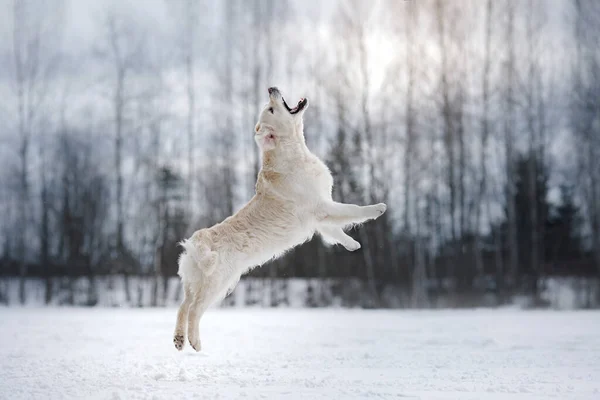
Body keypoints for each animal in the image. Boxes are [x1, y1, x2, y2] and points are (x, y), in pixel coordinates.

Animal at [172, 86, 390, 350]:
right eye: (271, 109)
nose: (271, 88)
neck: (294, 152)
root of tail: (195, 242)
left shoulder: (319, 215)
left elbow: (335, 231)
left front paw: (353, 244)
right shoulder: (320, 206)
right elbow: (353, 210)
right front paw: (377, 208)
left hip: (194, 282)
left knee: (182, 306)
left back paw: (179, 339)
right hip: (218, 282)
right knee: (194, 309)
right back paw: (195, 342)